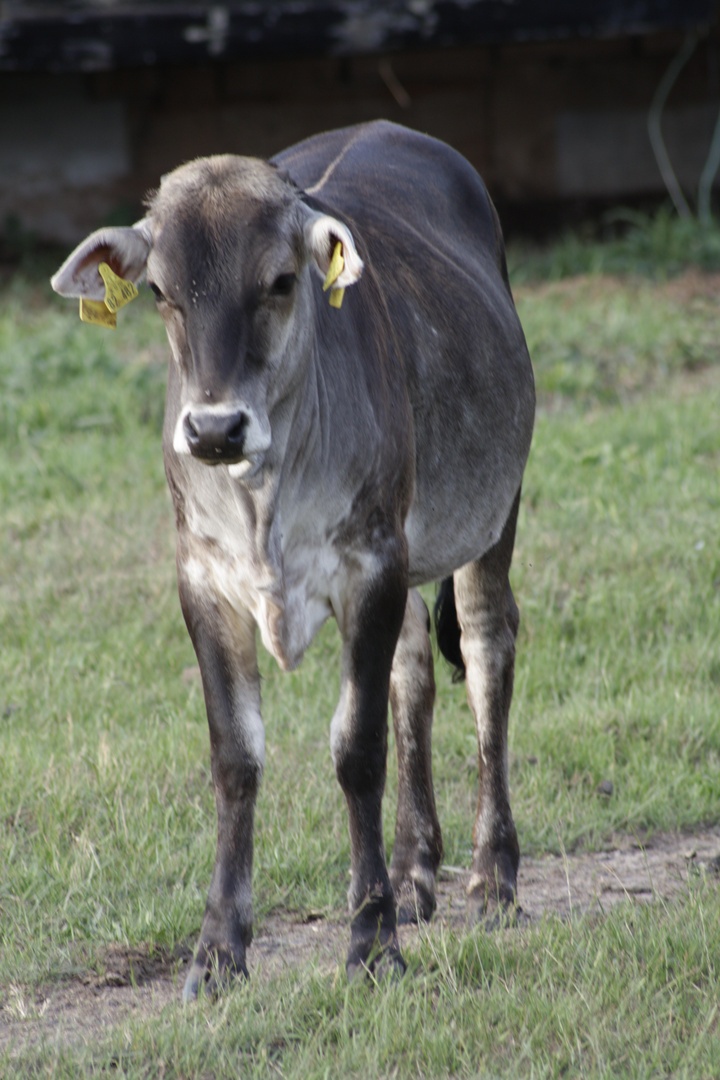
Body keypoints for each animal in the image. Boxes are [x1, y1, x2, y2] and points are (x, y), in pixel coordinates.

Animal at [52, 122, 535, 997]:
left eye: (279, 281)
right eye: (161, 291)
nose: (214, 429)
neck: (264, 493)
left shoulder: (371, 565)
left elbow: (357, 750)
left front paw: (372, 941)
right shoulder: (205, 583)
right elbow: (236, 757)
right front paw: (218, 951)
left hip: (492, 511)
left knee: (487, 651)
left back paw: (492, 877)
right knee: (414, 668)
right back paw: (415, 870)